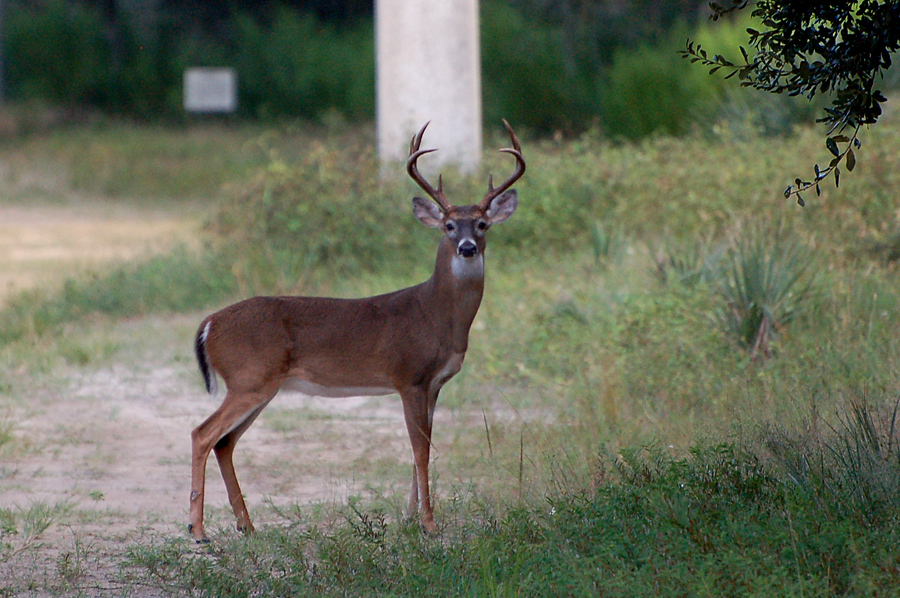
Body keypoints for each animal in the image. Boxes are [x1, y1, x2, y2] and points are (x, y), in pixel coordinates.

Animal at [190, 122, 528, 544]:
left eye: (482, 224)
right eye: (450, 225)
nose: (467, 247)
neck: (433, 314)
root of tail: (210, 323)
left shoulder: (433, 384)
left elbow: (421, 448)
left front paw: (409, 519)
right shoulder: (408, 376)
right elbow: (420, 450)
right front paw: (429, 523)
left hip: (259, 385)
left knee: (224, 443)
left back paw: (247, 526)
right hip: (249, 377)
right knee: (202, 434)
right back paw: (198, 529)